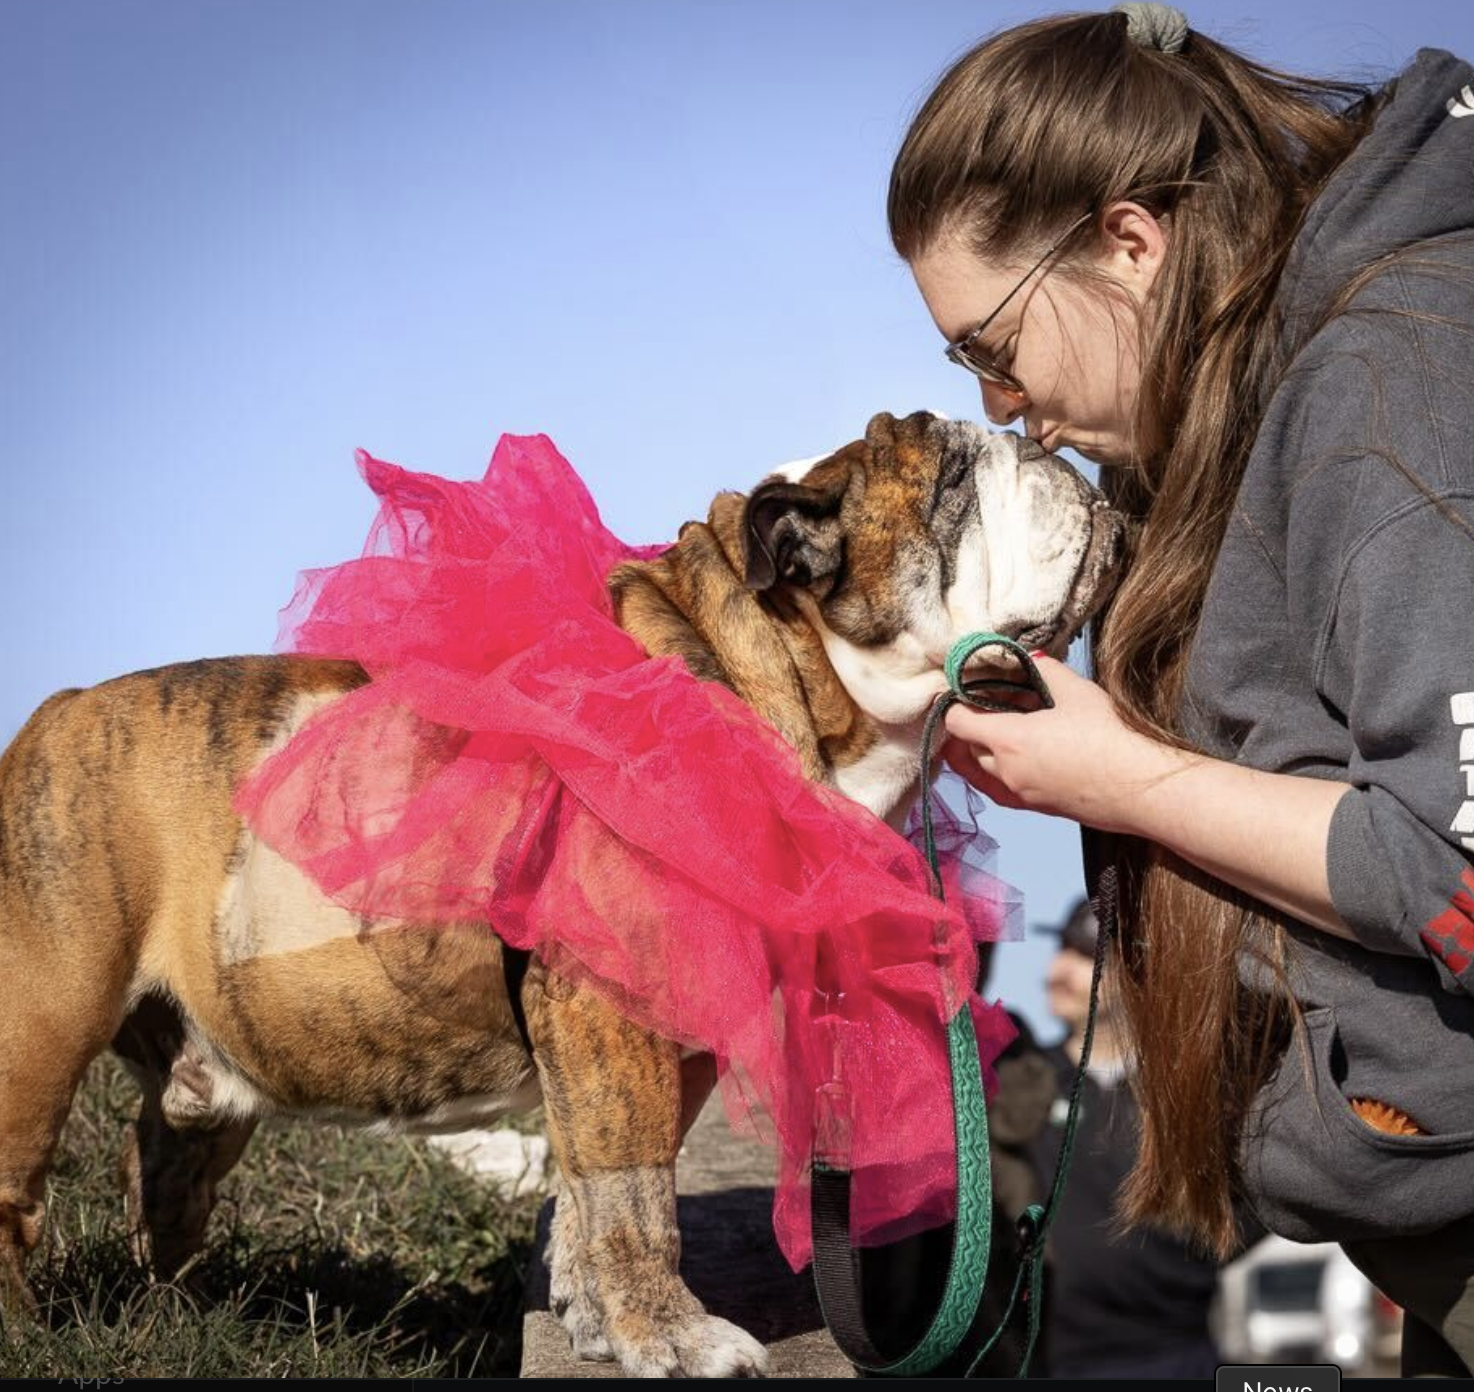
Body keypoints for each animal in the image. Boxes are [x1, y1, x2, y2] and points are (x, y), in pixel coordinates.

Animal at [0, 410, 1123, 1376]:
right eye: (953, 482)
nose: (1046, 447)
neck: (758, 674)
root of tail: (51, 714)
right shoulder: (606, 1010)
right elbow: (635, 1191)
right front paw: (673, 1339)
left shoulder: (668, 1035)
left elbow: (599, 1183)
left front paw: (591, 1318)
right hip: (40, 1027)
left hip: (201, 1075)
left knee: (163, 1168)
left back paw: (173, 1317)